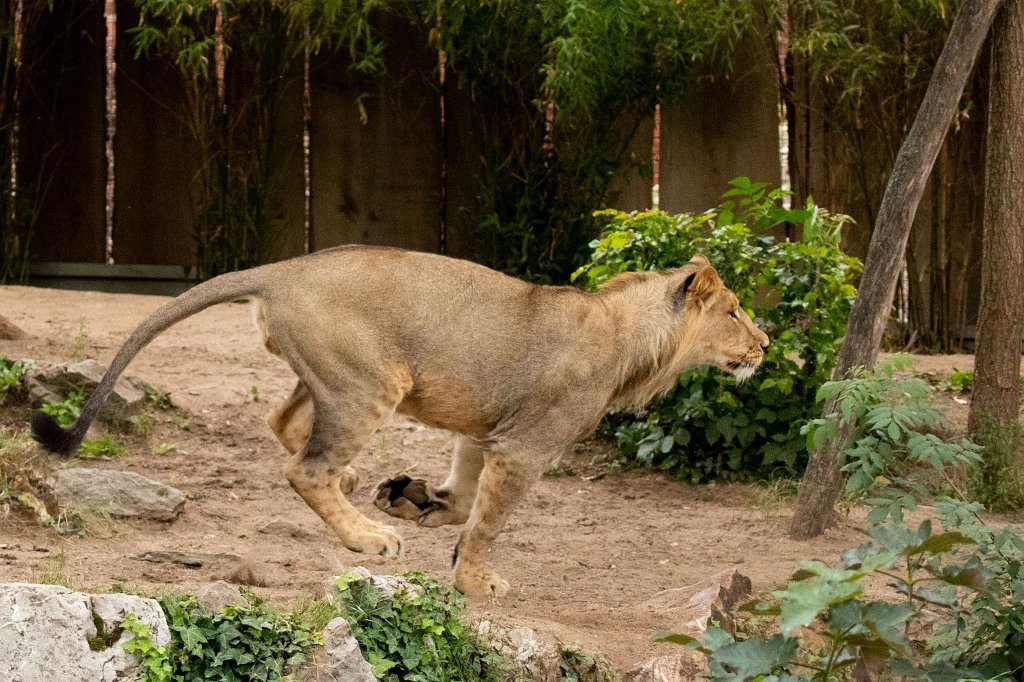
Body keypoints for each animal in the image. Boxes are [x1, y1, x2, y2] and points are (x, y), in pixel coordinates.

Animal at [31, 246, 768, 598]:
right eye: (734, 311)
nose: (765, 345)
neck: (632, 341)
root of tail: (281, 270)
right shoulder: (526, 445)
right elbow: (490, 521)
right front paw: (474, 580)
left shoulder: (484, 427)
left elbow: (466, 500)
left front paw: (417, 501)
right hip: (372, 383)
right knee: (303, 467)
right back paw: (368, 536)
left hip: (337, 377)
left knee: (283, 421)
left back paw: (365, 487)